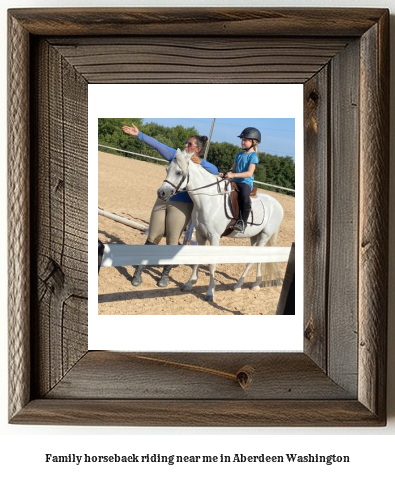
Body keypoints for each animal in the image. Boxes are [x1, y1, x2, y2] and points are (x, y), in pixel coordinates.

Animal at [158, 149, 284, 300]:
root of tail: (277, 204)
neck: (208, 200)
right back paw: (255, 284)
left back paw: (239, 286)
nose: (161, 193)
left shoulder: (214, 237)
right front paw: (190, 283)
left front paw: (210, 292)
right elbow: (197, 259)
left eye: (178, 172)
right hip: (255, 236)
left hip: (265, 235)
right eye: (167, 169)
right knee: (258, 257)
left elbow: (212, 264)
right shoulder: (200, 234)